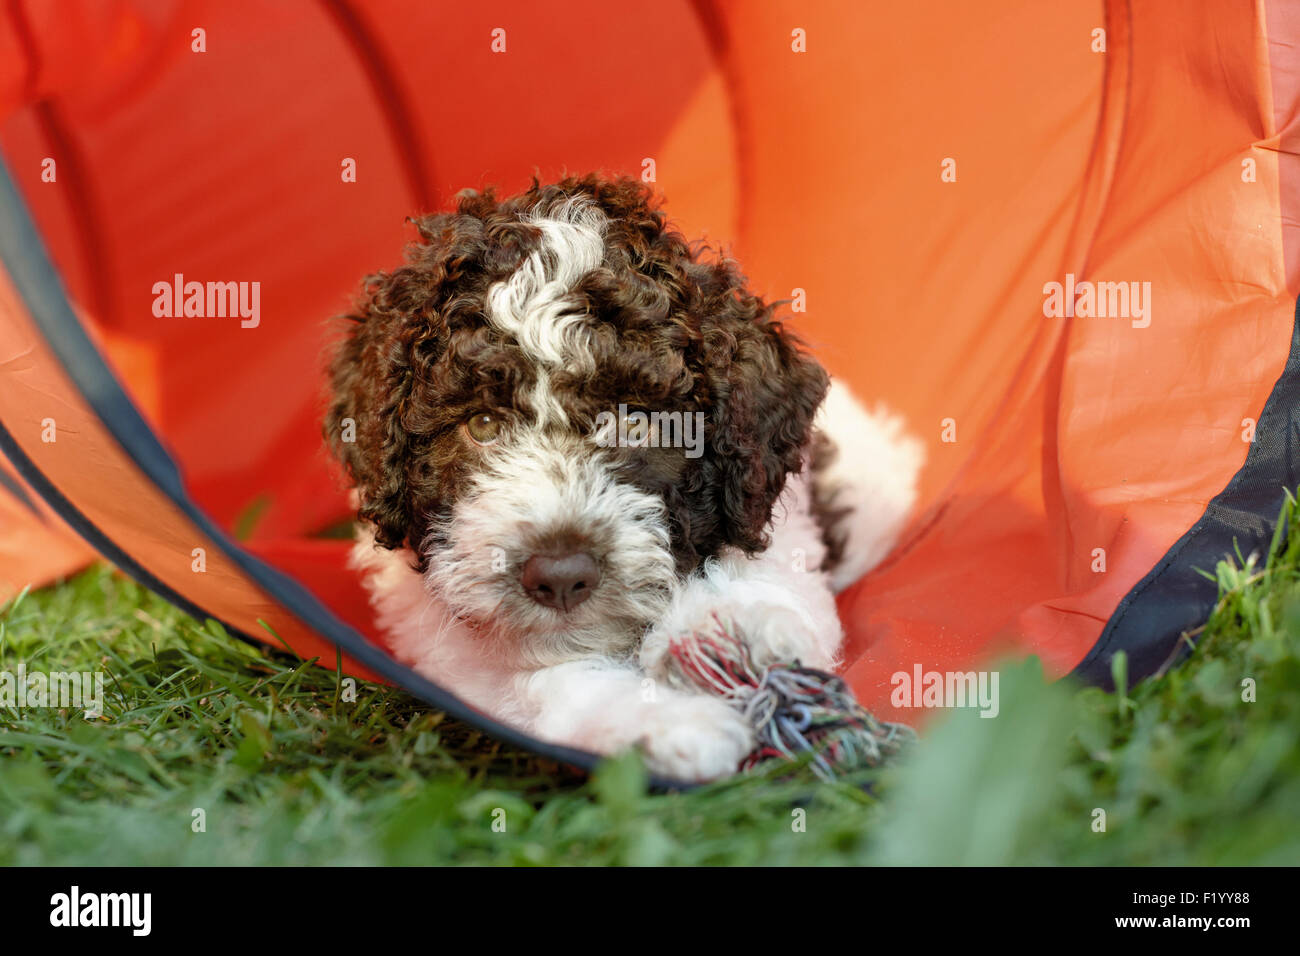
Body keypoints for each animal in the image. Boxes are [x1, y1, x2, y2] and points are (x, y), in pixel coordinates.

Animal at [327, 175, 925, 780]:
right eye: (483, 425)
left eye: (637, 421)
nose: (560, 576)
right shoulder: (442, 643)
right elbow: (536, 678)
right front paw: (671, 723)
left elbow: (769, 578)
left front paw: (735, 632)